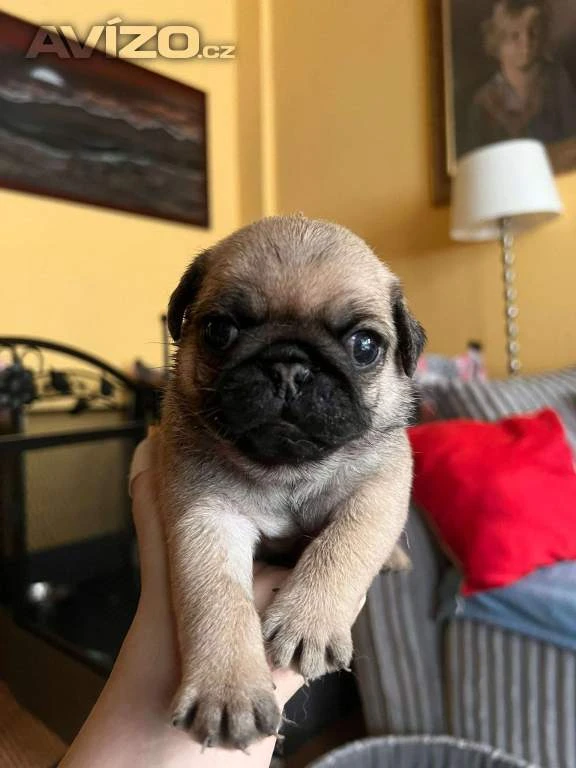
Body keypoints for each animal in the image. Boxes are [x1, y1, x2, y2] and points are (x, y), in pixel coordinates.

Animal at [158, 215, 425, 749]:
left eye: (365, 346)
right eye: (219, 330)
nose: (289, 365)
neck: (285, 470)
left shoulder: (380, 491)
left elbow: (343, 546)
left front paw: (310, 621)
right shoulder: (206, 516)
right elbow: (216, 595)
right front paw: (228, 687)